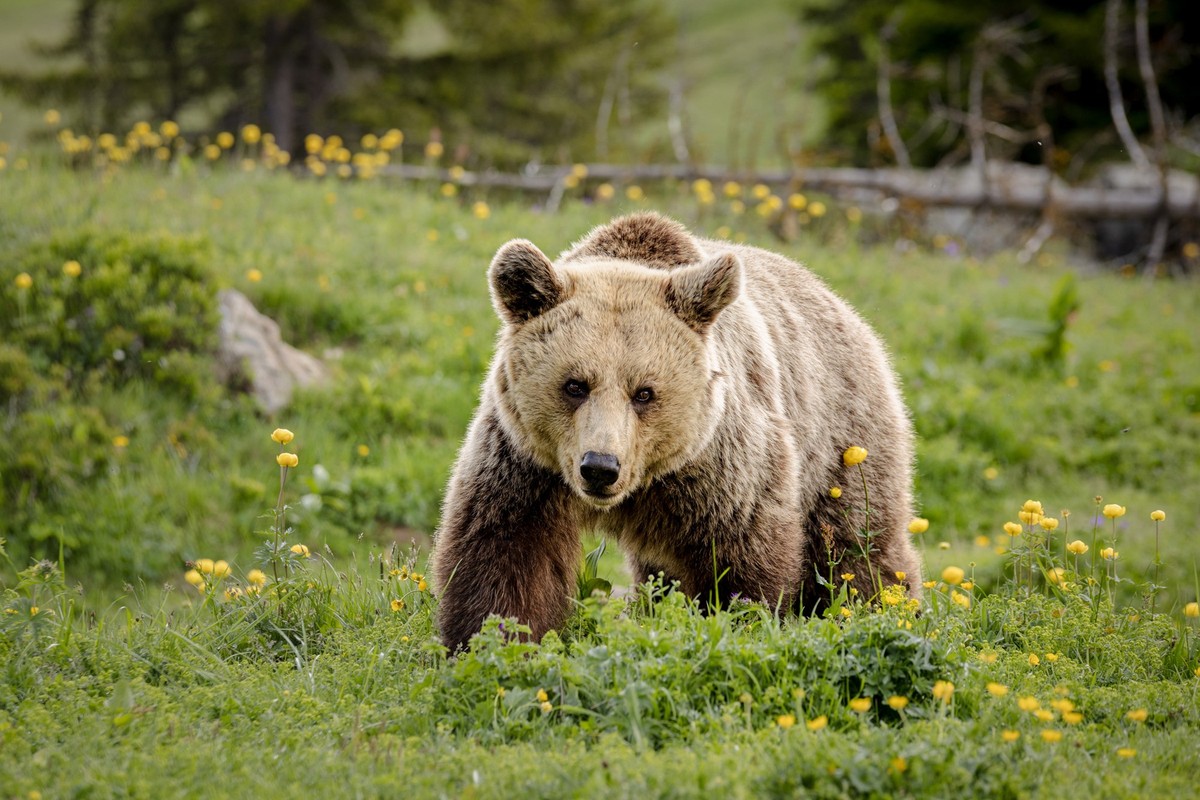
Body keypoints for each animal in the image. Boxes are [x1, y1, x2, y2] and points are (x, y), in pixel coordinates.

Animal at [432, 212, 922, 651]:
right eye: (574, 385)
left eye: (644, 392)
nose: (600, 467)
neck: (645, 483)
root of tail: (845, 308)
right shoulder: (526, 462)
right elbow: (505, 554)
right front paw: (494, 641)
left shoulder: (720, 464)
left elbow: (739, 561)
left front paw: (736, 623)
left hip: (841, 438)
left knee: (856, 547)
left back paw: (887, 608)